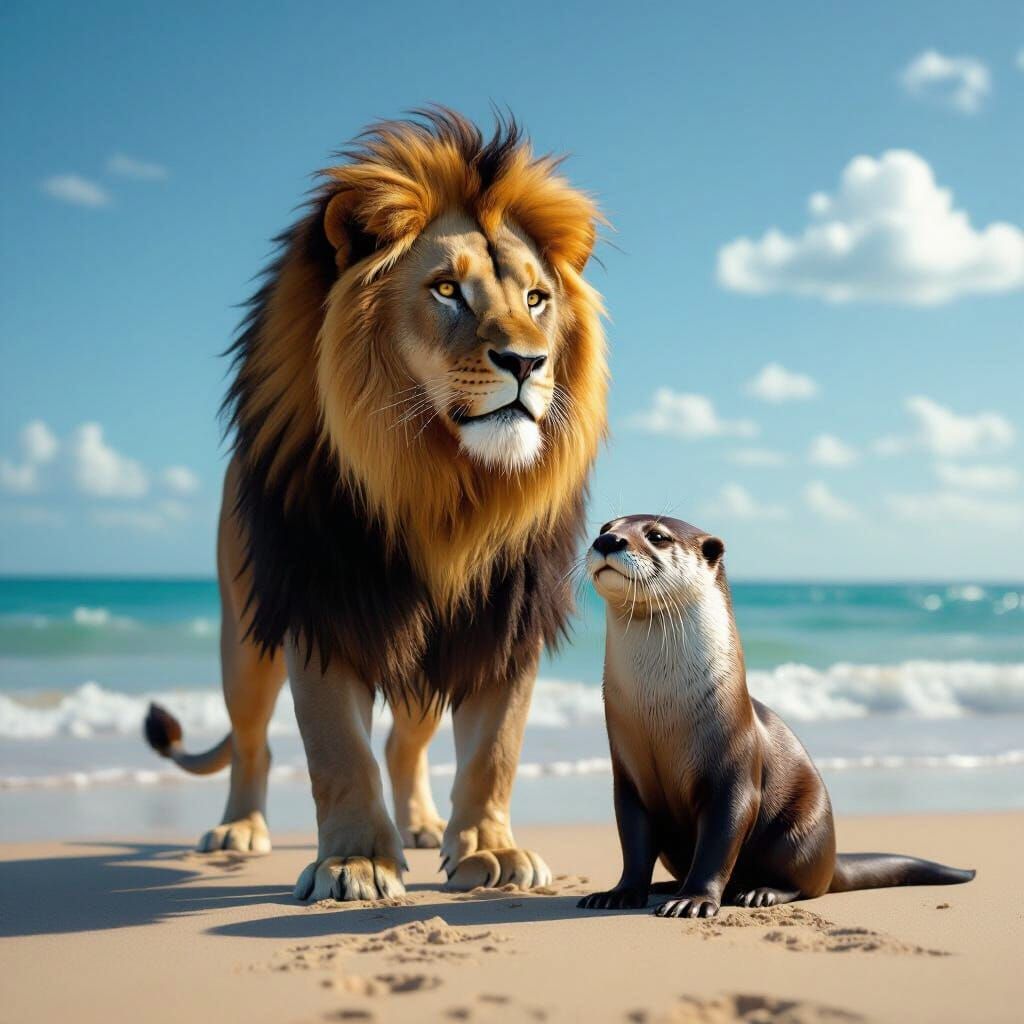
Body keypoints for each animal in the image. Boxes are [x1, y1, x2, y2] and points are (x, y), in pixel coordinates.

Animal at [144, 108, 607, 900]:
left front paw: (490, 851)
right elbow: (338, 753)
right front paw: (355, 862)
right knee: (254, 741)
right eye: (447, 290)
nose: (527, 363)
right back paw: (239, 830)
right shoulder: (323, 605)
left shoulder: (502, 622)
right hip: (244, 634)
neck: (441, 484)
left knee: (403, 744)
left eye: (536, 299)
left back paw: (422, 825)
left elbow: (494, 751)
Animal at [578, 515, 974, 918]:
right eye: (604, 528)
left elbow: (718, 843)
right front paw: (620, 893)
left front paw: (694, 900)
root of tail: (832, 860)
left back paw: (759, 892)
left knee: (802, 884)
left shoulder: (733, 771)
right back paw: (666, 885)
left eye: (657, 536)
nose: (608, 541)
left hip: (802, 829)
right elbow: (633, 844)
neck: (660, 708)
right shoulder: (628, 776)